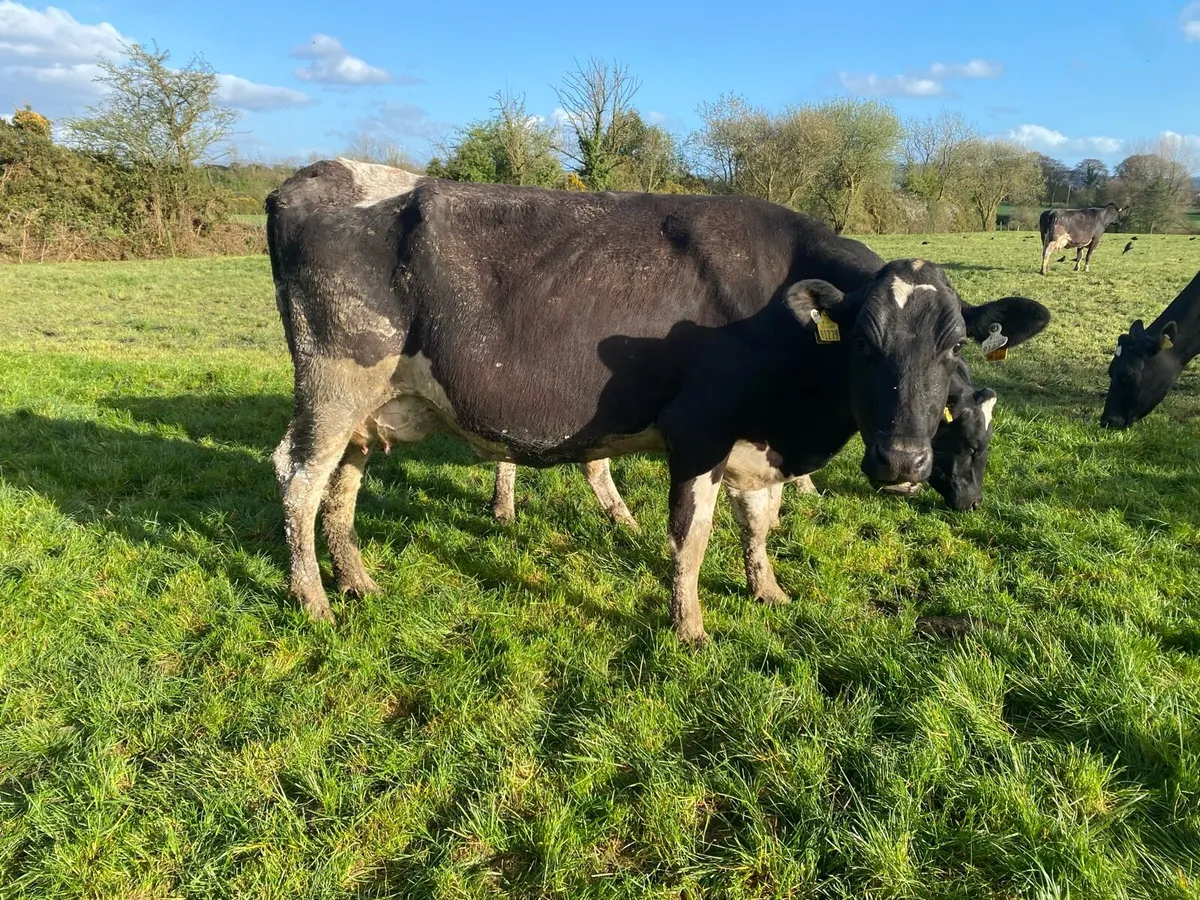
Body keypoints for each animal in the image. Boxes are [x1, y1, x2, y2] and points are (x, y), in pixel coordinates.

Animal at [266, 159, 1050, 642]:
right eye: (862, 341)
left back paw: (359, 582)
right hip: (334, 383)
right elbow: (692, 537)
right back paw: (314, 600)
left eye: (953, 342)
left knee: (342, 486)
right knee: (299, 479)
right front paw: (690, 626)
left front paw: (768, 593)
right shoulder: (699, 432)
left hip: (372, 405)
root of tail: (314, 177)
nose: (901, 463)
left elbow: (759, 525)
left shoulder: (758, 443)